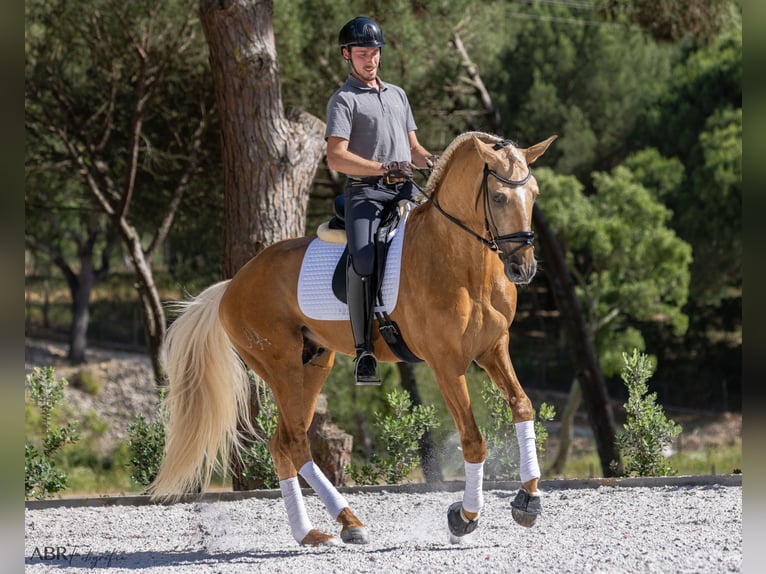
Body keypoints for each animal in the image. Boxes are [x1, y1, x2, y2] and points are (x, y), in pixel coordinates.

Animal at [150, 132, 560, 548]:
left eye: (535, 194)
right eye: (499, 198)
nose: (523, 269)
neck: (462, 264)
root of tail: (233, 284)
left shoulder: (494, 349)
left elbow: (522, 406)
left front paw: (528, 499)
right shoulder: (446, 364)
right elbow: (473, 439)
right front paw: (464, 516)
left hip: (313, 363)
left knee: (282, 444)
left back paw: (312, 532)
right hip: (280, 365)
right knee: (295, 442)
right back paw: (348, 521)